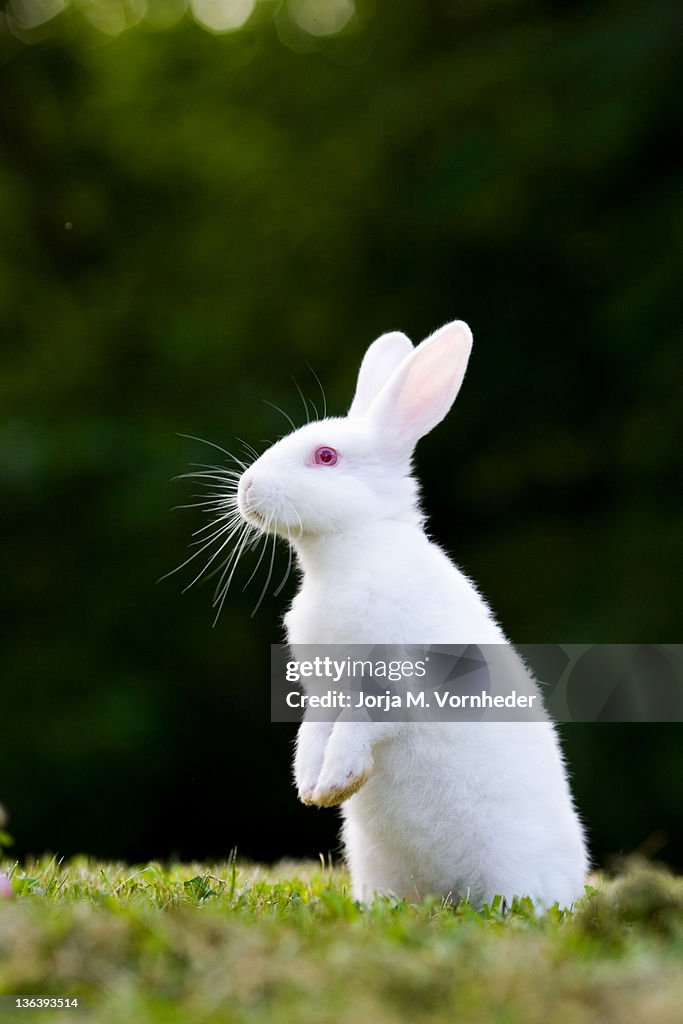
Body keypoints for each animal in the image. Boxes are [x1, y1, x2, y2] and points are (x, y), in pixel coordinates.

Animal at [236, 321, 588, 908]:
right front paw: (311, 786)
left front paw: (336, 779)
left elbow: (361, 724)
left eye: (325, 457)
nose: (245, 489)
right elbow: (314, 731)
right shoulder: (322, 690)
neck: (352, 554)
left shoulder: (395, 680)